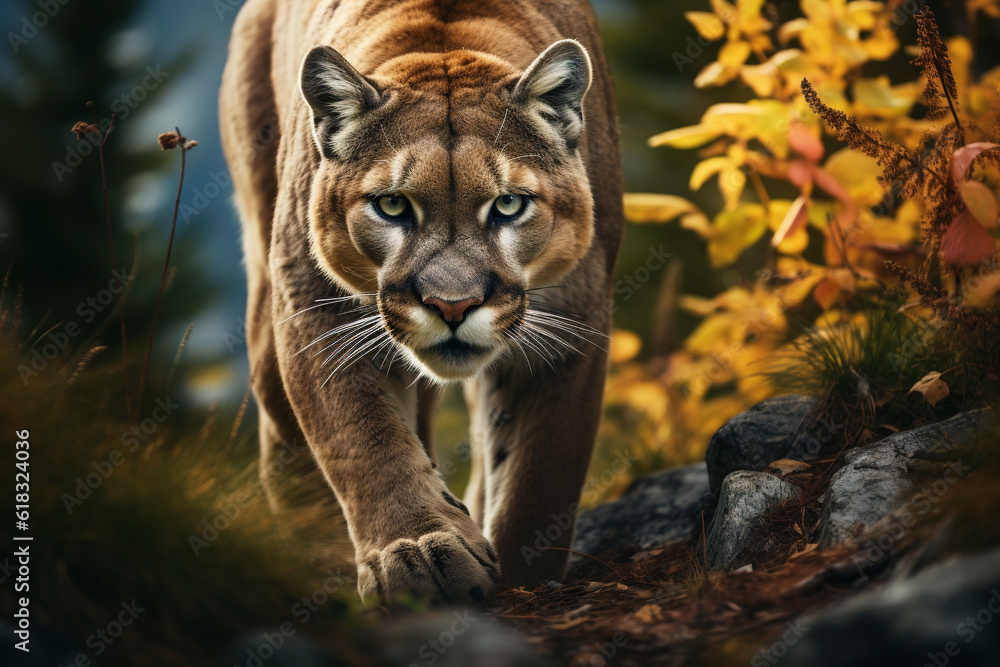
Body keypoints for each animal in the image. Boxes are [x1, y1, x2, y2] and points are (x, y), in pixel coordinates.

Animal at [219, 0, 623, 603]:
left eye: (508, 205)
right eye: (391, 206)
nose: (452, 306)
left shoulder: (571, 324)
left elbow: (539, 477)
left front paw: (520, 577)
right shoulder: (314, 304)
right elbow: (364, 439)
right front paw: (419, 553)